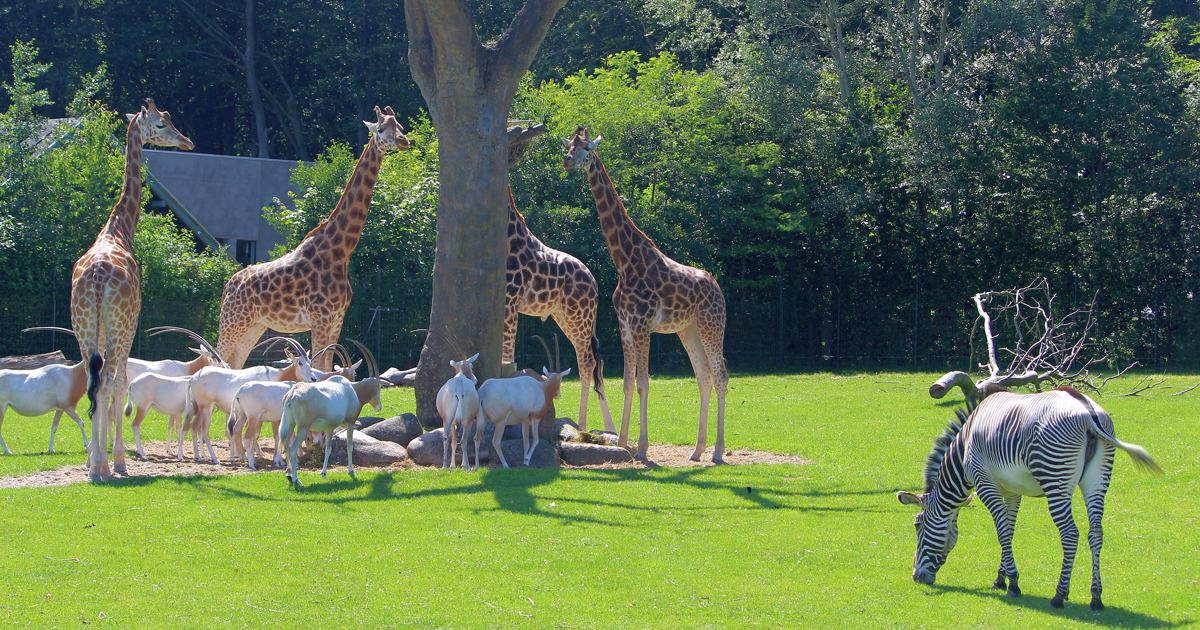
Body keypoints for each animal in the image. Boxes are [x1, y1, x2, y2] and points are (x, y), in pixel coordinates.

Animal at [71, 99, 192, 482]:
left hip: (82, 324)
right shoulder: (132, 321)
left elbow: (102, 387)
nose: (187, 142)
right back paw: (106, 467)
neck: (119, 228)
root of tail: (96, 278)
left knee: (93, 377)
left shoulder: (99, 327)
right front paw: (116, 460)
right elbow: (120, 384)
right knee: (109, 379)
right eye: (161, 123)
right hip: (119, 324)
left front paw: (94, 458)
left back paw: (96, 465)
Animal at [220, 105, 412, 372]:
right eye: (382, 129)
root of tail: (228, 286)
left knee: (233, 365)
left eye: (401, 127)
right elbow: (320, 368)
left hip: (254, 326)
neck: (340, 252)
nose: (404, 141)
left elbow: (328, 368)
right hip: (232, 323)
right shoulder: (320, 318)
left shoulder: (337, 320)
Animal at [504, 126, 619, 434]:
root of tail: (593, 281)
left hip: (579, 317)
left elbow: (507, 356)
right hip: (564, 317)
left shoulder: (509, 302)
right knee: (594, 361)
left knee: (587, 361)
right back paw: (609, 427)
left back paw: (584, 425)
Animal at [556, 126, 724, 460]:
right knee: (704, 376)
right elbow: (627, 382)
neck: (626, 262)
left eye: (587, 149)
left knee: (721, 375)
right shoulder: (626, 325)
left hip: (712, 325)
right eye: (569, 146)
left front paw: (644, 448)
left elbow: (644, 382)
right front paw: (622, 442)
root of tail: (718, 288)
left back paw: (718, 452)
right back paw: (697, 450)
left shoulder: (643, 325)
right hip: (689, 329)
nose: (567, 162)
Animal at [902, 386, 1161, 612]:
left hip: (1055, 477)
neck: (965, 446)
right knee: (1096, 533)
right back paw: (1095, 598)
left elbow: (1001, 533)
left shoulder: (985, 484)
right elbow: (1009, 532)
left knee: (1070, 533)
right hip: (1097, 479)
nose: (916, 577)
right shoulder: (1011, 490)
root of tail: (1088, 411)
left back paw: (1059, 596)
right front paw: (1001, 580)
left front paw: (1014, 584)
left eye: (917, 525)